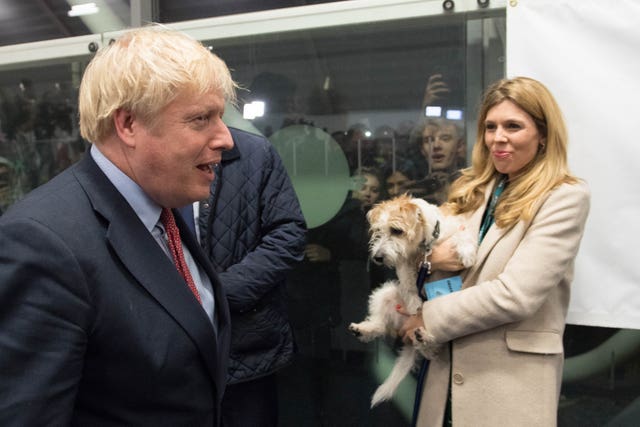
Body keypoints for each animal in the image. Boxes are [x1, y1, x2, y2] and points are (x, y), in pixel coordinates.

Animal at [350, 194, 476, 408]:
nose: (377, 258)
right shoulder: (404, 264)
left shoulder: (455, 230)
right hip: (385, 294)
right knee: (381, 325)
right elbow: (408, 284)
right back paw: (364, 329)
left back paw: (423, 336)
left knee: (432, 351)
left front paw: (466, 252)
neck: (424, 246)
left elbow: (463, 235)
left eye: (396, 230)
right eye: (378, 231)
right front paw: (414, 304)